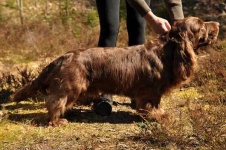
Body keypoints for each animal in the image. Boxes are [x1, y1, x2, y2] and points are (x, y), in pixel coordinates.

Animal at [12, 17, 219, 126]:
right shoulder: (152, 90)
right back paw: (57, 121)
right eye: (201, 25)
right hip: (70, 87)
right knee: (54, 102)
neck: (168, 50)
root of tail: (62, 57)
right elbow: (152, 106)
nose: (217, 24)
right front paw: (159, 117)